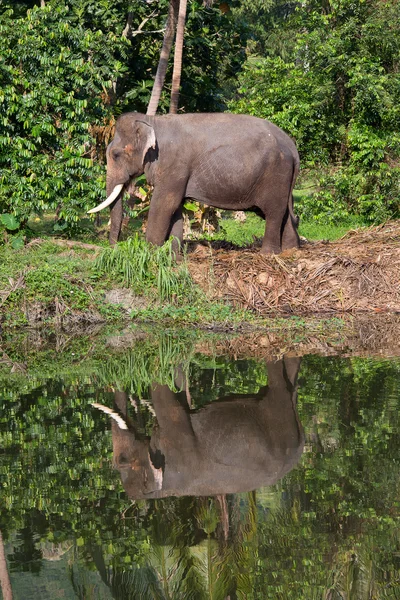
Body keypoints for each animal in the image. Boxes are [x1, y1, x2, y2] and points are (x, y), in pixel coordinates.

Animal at [88, 112, 300, 253]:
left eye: (116, 155)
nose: (115, 247)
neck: (152, 120)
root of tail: (291, 144)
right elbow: (176, 208)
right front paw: (173, 256)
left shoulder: (174, 165)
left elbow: (164, 204)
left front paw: (149, 253)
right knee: (283, 213)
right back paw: (291, 251)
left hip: (276, 173)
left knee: (273, 212)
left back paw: (269, 254)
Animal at [94, 358, 304, 500]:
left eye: (123, 461)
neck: (163, 493)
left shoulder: (178, 442)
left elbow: (162, 391)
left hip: (279, 420)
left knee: (278, 385)